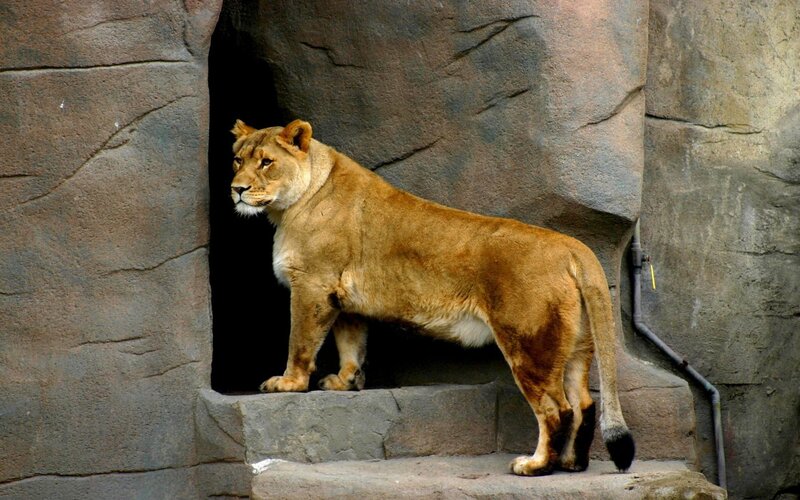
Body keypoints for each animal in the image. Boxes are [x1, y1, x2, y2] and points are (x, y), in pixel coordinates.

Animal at [229, 119, 635, 476]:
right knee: (584, 403)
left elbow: (300, 342)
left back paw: (535, 466)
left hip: (530, 345)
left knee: (556, 410)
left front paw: (288, 383)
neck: (291, 206)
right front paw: (345, 382)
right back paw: (572, 464)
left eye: (266, 162)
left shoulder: (313, 284)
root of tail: (572, 246)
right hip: (576, 345)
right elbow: (351, 344)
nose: (237, 189)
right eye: (237, 160)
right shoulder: (342, 296)